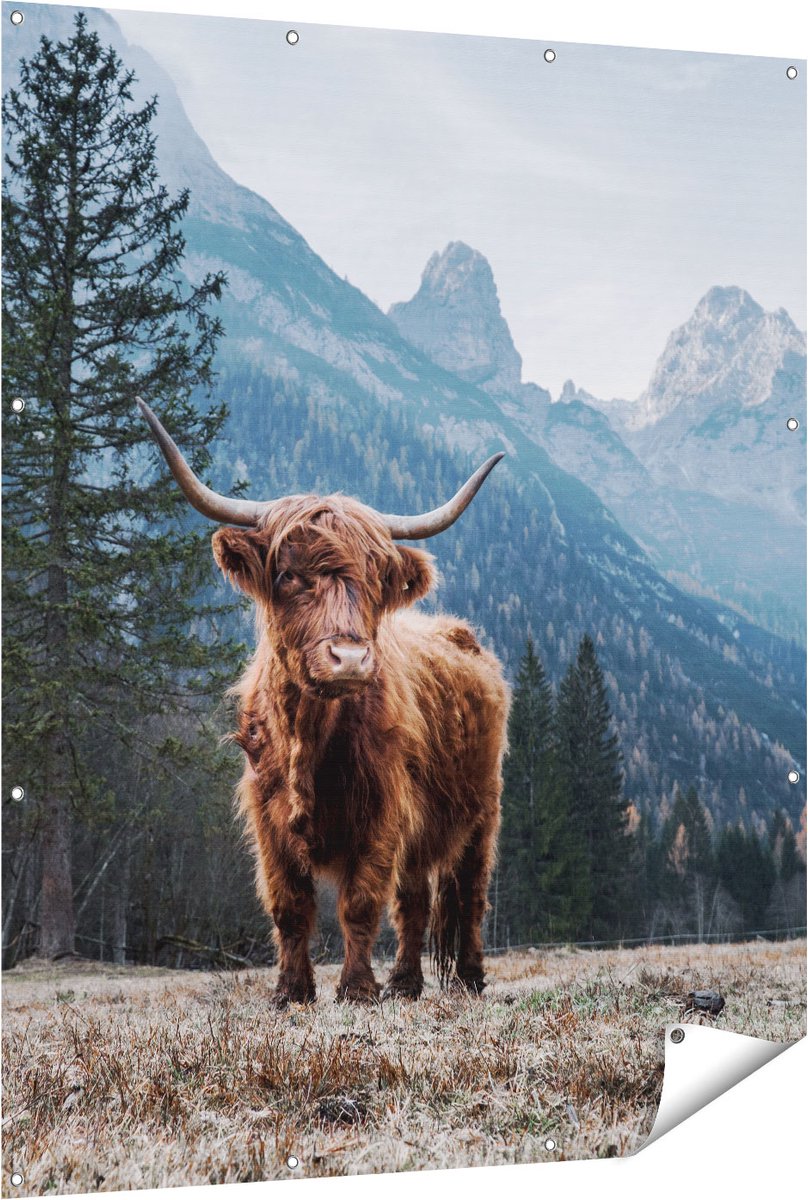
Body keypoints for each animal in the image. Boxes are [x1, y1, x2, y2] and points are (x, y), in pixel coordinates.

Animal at [137, 398, 510, 1005]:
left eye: (376, 580)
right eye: (289, 575)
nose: (351, 658)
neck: (307, 737)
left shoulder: (382, 810)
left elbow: (360, 904)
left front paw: (356, 990)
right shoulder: (268, 818)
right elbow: (290, 906)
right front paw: (292, 992)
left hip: (482, 810)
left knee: (468, 894)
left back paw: (469, 979)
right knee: (414, 902)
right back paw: (405, 984)